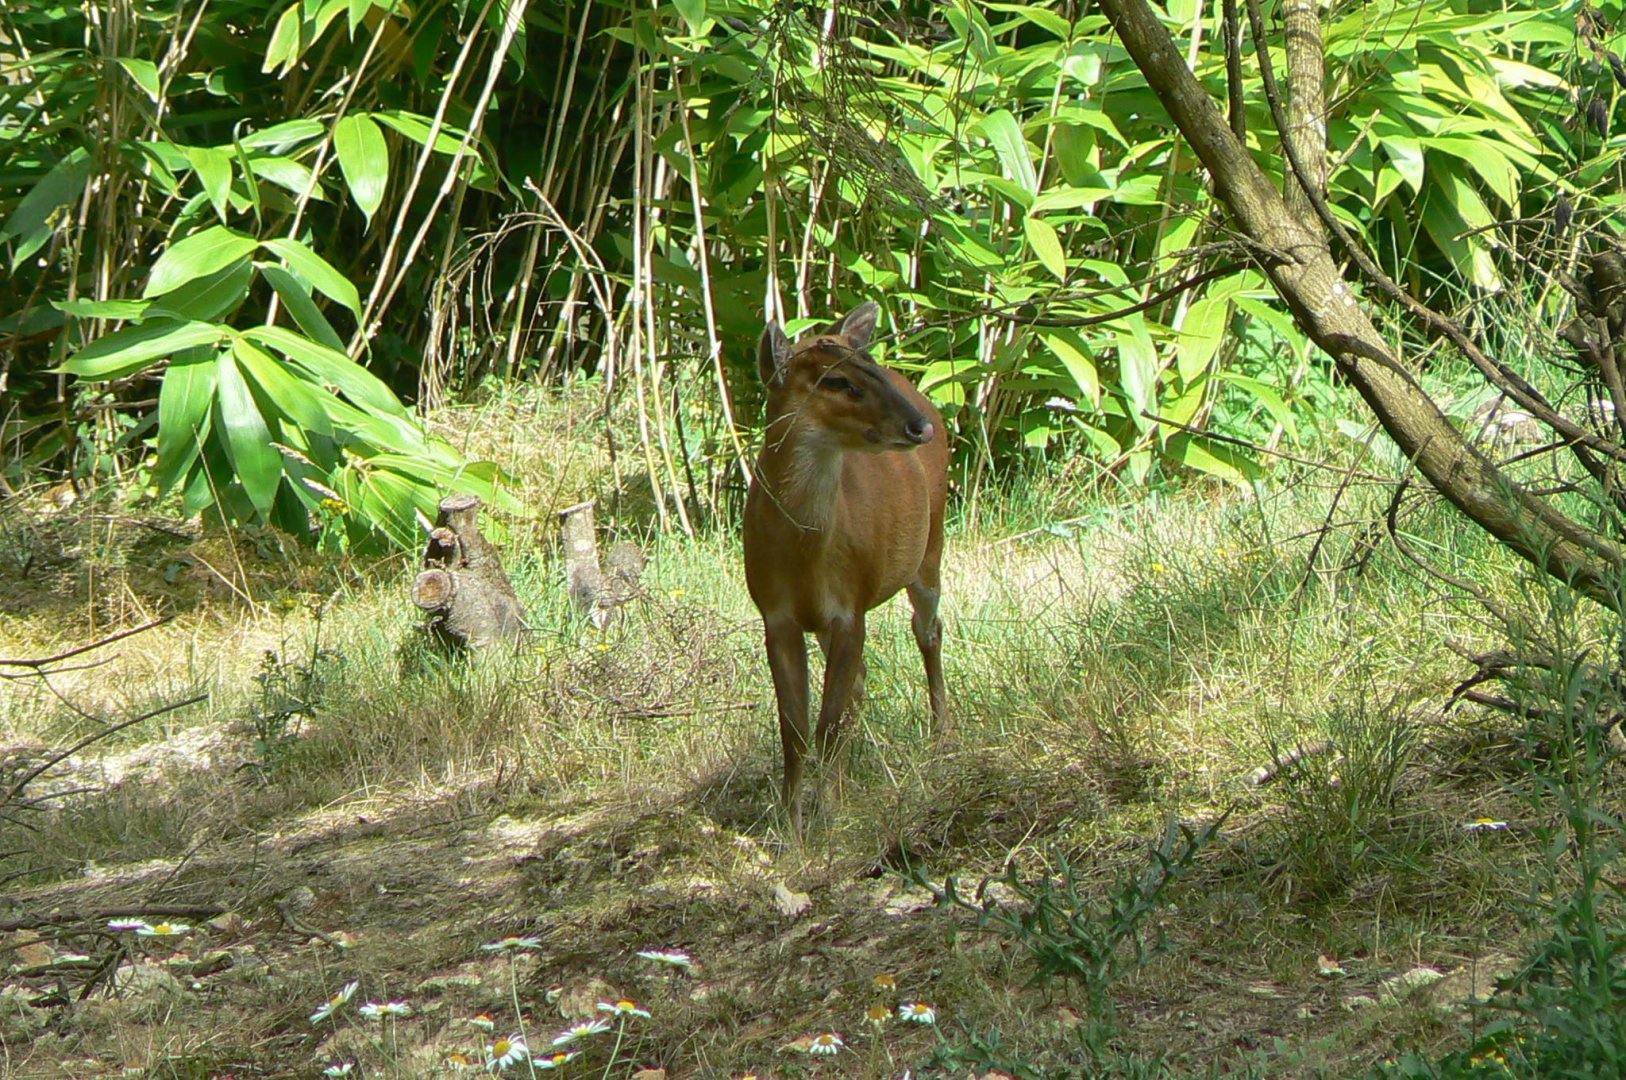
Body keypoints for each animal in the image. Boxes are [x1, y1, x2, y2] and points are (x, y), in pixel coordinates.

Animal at [743, 301, 950, 833]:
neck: (804, 554)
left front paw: (829, 818)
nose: (919, 427)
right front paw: (791, 824)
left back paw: (942, 734)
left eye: (871, 366)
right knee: (860, 683)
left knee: (929, 630)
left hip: (932, 544)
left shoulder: (851, 608)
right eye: (837, 382)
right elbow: (795, 728)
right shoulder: (776, 616)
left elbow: (827, 723)